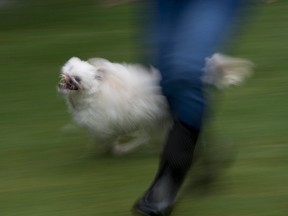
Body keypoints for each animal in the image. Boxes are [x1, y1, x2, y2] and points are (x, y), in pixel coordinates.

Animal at [58, 54, 252, 155]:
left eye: (77, 79)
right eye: (69, 69)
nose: (67, 77)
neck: (96, 92)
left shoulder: (107, 121)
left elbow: (104, 135)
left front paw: (106, 146)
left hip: (154, 118)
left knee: (147, 136)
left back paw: (124, 148)